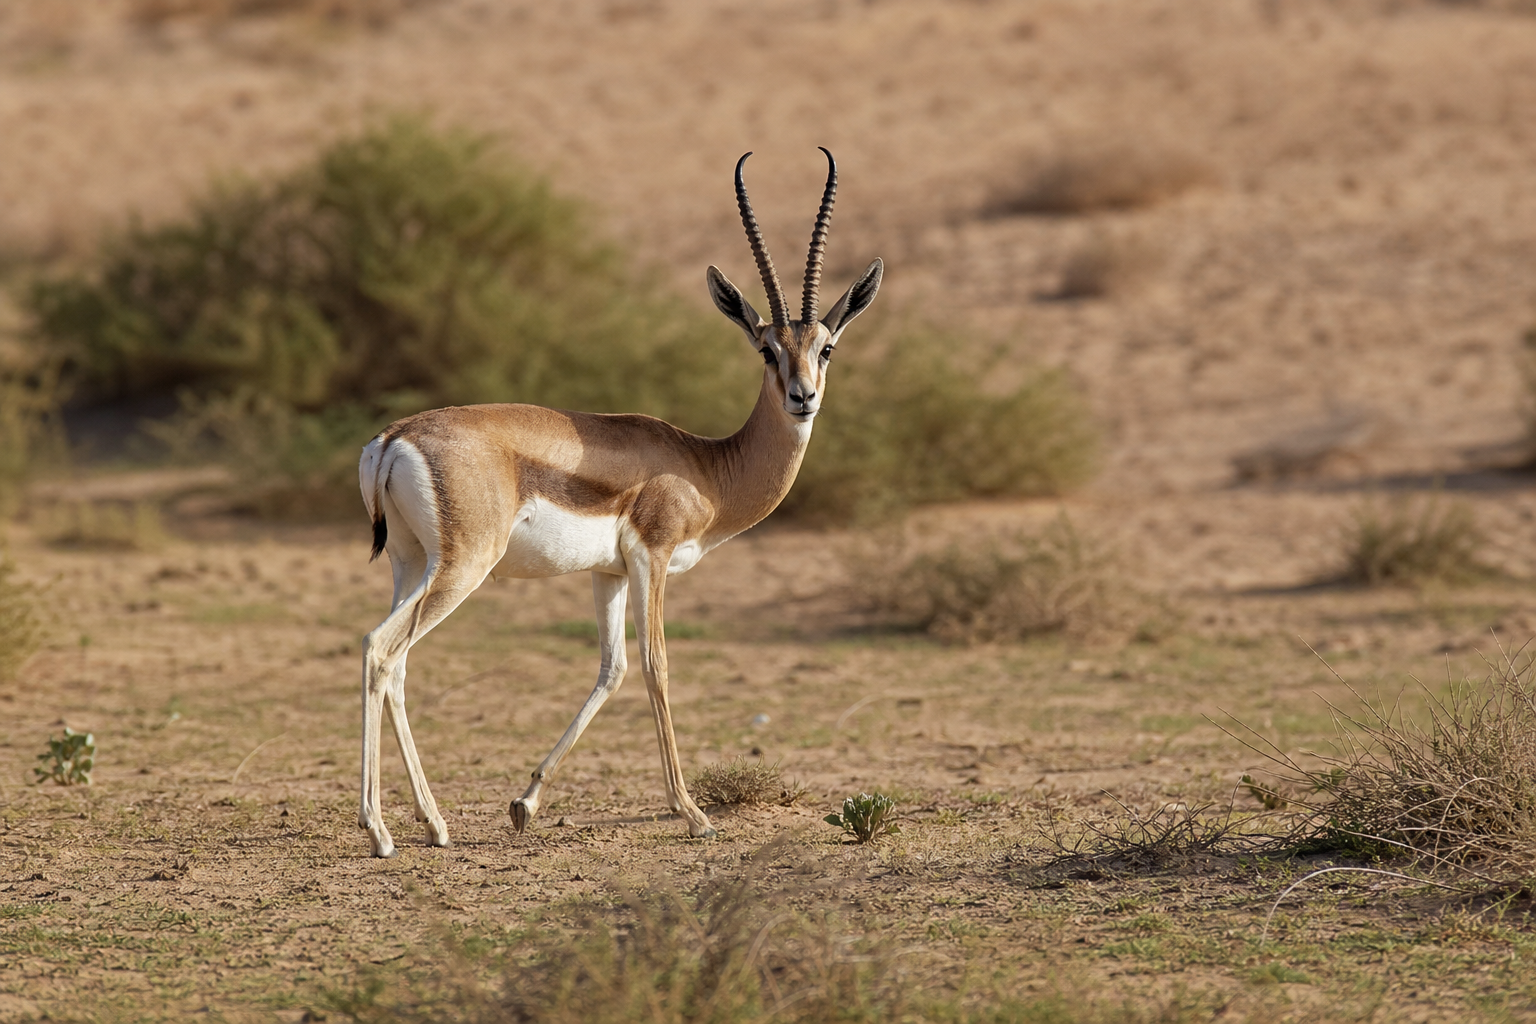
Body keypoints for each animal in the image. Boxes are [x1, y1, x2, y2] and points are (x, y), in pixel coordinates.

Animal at [355, 149, 881, 857]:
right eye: (766, 350)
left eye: (826, 347)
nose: (803, 397)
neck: (705, 467)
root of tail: (394, 438)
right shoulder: (651, 559)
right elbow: (657, 665)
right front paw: (692, 813)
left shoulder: (607, 573)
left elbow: (613, 668)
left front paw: (525, 803)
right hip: (462, 569)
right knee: (381, 650)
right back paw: (380, 830)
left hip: (412, 565)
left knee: (399, 664)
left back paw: (433, 824)